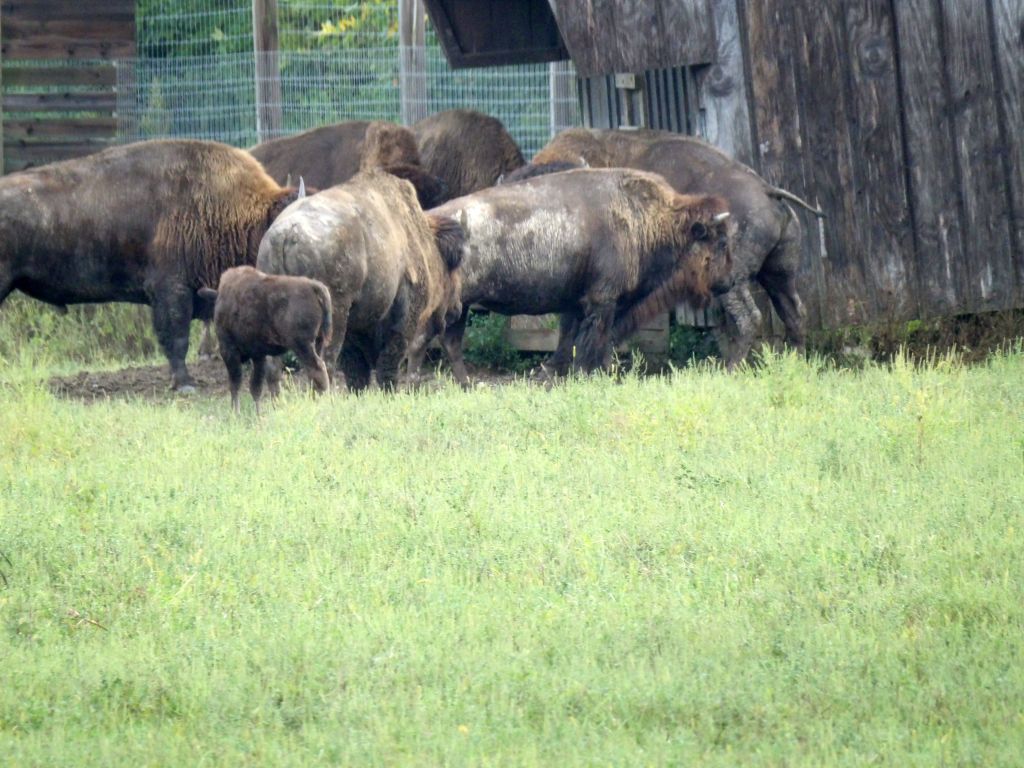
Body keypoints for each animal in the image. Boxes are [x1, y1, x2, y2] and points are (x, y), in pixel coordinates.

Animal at [198, 266, 332, 413]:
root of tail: (314, 287)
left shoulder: (229, 350)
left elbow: (236, 383)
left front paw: (236, 413)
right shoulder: (259, 355)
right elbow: (256, 387)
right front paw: (258, 414)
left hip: (302, 346)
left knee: (317, 369)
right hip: (317, 343)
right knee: (316, 371)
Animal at [257, 170, 464, 393]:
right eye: (453, 264)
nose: (457, 308)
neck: (422, 242)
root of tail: (286, 234)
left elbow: (356, 369)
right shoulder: (403, 317)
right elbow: (388, 362)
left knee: (274, 367)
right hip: (332, 317)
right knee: (324, 362)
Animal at [412, 168, 733, 384]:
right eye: (719, 241)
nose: (728, 282)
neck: (652, 219)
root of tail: (427, 222)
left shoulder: (578, 304)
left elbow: (573, 341)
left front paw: (557, 373)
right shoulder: (603, 302)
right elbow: (593, 342)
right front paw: (589, 376)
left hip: (460, 306)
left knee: (450, 342)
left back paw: (465, 384)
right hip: (448, 306)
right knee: (424, 339)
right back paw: (413, 384)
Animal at [526, 128, 825, 367]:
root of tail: (766, 190)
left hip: (733, 279)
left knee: (748, 318)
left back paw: (730, 369)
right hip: (779, 273)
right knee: (794, 312)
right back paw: (795, 364)